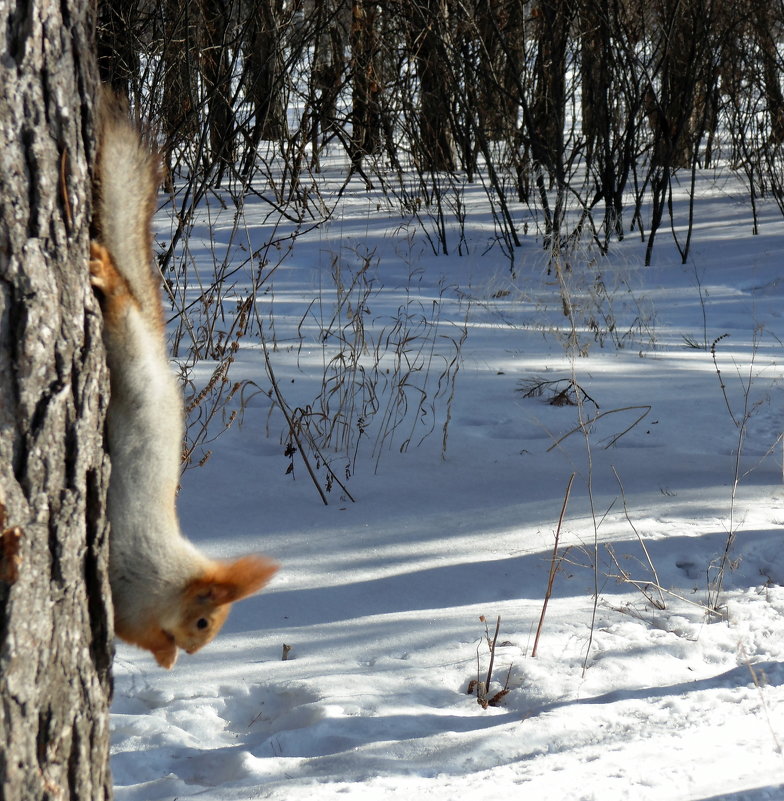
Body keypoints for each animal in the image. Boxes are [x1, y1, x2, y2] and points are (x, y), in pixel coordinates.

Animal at [88, 92, 278, 668]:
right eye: (203, 621)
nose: (193, 653)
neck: (166, 580)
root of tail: (157, 349)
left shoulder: (134, 613)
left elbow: (138, 635)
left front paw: (162, 655)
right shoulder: (133, 576)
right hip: (132, 363)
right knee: (123, 313)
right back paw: (108, 277)